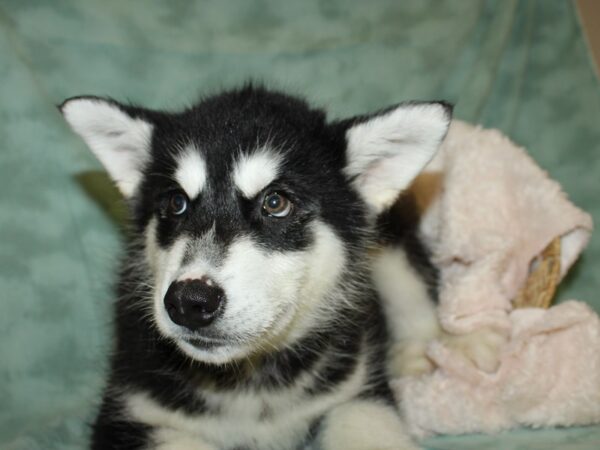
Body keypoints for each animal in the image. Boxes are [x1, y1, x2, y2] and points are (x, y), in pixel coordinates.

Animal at [62, 85, 450, 450]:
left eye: (275, 203)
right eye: (176, 203)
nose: (190, 301)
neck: (249, 379)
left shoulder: (358, 391)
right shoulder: (129, 411)